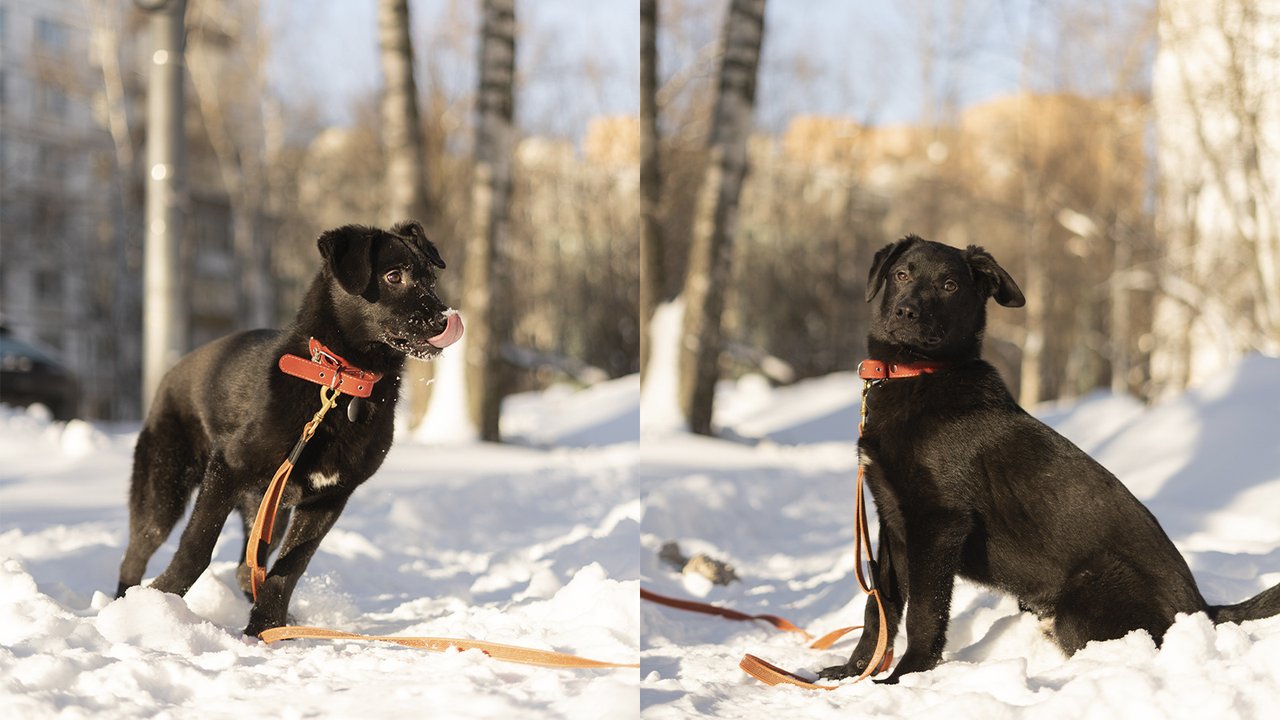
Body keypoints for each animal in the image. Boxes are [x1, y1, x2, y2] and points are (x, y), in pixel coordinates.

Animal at [115, 220, 463, 632]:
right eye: (394, 276)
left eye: (431, 280)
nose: (446, 319)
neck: (340, 383)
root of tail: (172, 371)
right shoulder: (227, 469)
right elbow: (197, 547)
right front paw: (162, 599)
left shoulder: (329, 499)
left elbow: (290, 567)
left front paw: (265, 627)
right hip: (165, 491)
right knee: (136, 554)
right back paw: (124, 608)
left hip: (269, 506)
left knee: (246, 568)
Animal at [819, 237, 1280, 681]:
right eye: (901, 274)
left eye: (949, 285)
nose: (906, 312)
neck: (918, 375)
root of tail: (1202, 608)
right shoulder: (892, 520)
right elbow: (880, 606)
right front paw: (853, 671)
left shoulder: (939, 521)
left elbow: (923, 612)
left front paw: (906, 675)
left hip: (1089, 592)